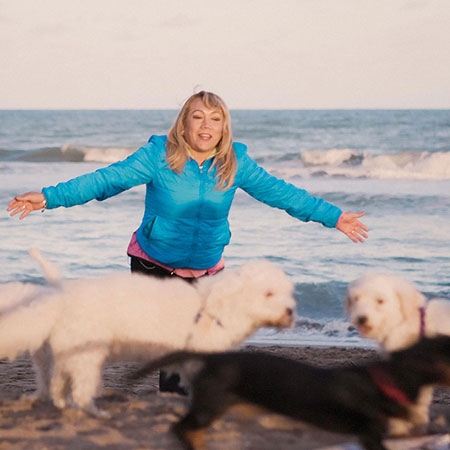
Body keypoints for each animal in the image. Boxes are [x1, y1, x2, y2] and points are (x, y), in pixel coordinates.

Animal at [0, 256, 296, 418]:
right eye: (268, 293)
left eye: (286, 291)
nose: (291, 312)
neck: (219, 304)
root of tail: (60, 298)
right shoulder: (199, 359)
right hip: (87, 356)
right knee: (81, 392)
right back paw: (97, 414)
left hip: (70, 352)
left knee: (58, 384)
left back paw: (65, 406)